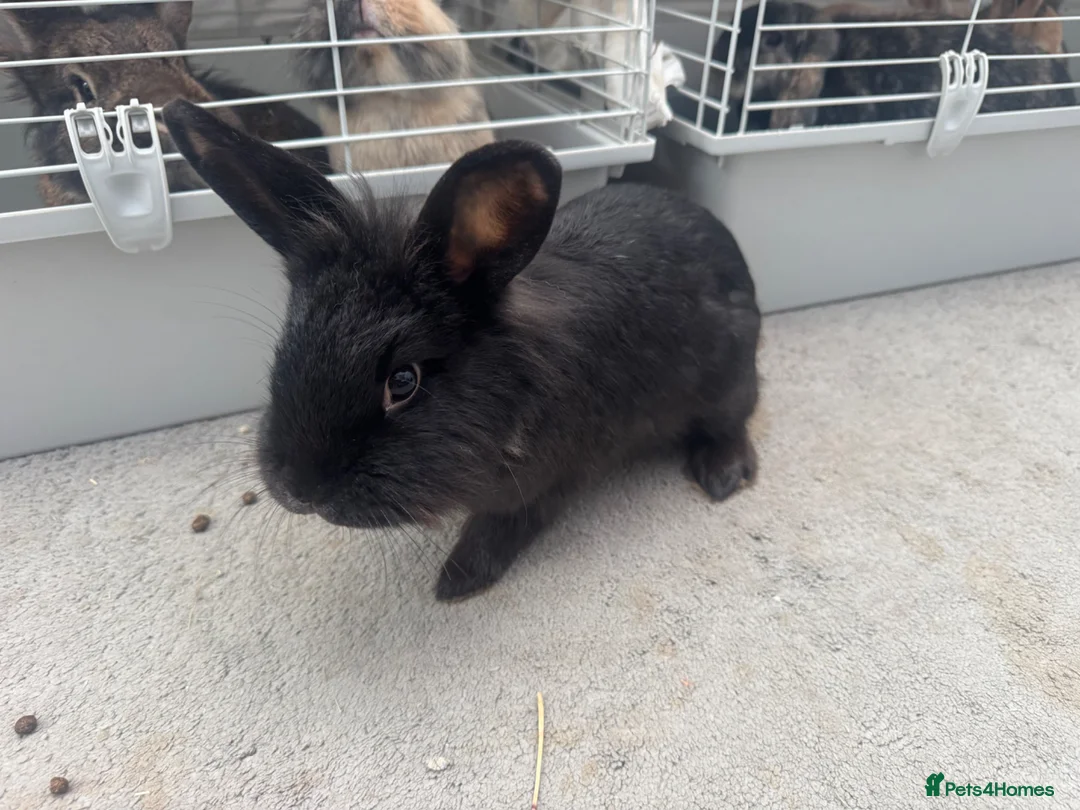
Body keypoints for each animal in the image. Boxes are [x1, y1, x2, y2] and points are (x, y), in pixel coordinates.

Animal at [161, 97, 762, 601]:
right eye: (286, 346)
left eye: (403, 381)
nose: (298, 490)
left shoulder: (547, 482)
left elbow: (501, 529)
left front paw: (456, 582)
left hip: (728, 380)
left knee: (734, 421)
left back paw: (722, 475)